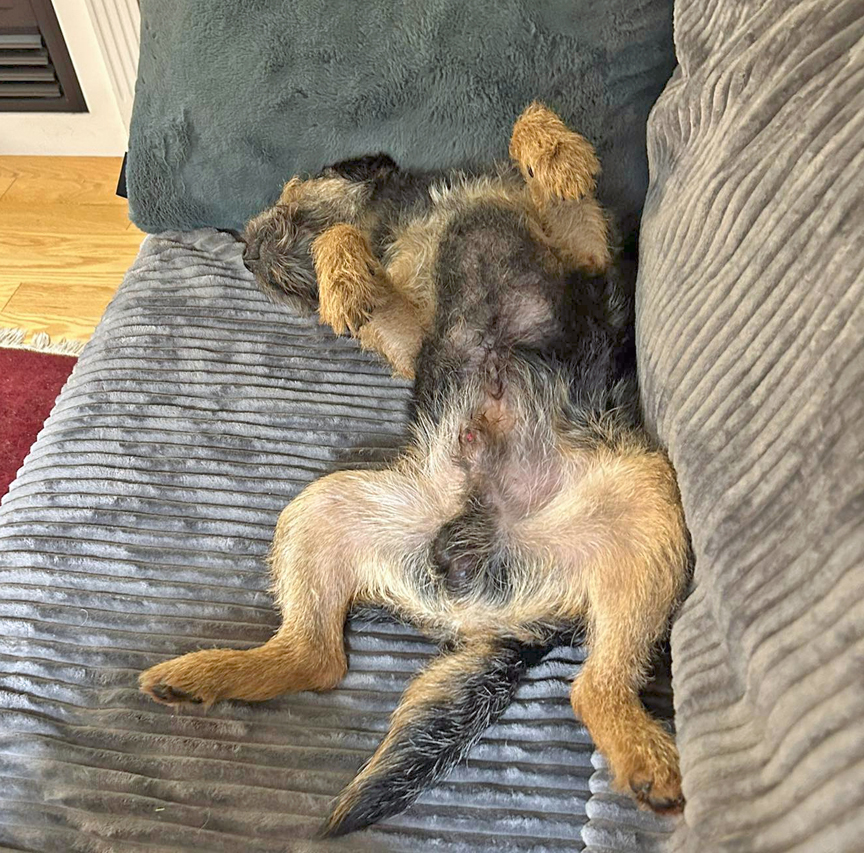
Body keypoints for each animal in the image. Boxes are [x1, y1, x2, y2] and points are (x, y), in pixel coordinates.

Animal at [139, 103, 689, 836]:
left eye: (286, 199)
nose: (245, 250)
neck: (414, 212)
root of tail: (484, 609)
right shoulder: (408, 332)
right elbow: (352, 251)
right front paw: (343, 278)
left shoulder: (586, 251)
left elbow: (538, 151)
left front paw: (554, 153)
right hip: (325, 509)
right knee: (319, 657)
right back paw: (206, 676)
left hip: (650, 503)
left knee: (592, 686)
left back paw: (643, 756)